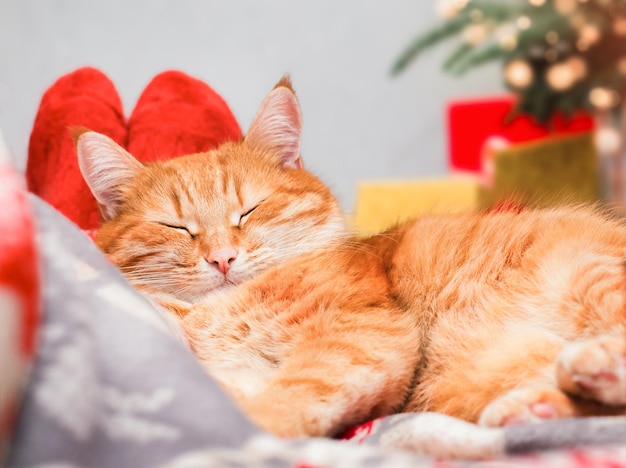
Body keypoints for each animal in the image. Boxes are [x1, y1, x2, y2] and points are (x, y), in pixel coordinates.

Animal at [77, 75, 624, 436]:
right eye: (176, 227)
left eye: (249, 210)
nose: (222, 259)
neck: (222, 313)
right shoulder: (234, 372)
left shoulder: (357, 334)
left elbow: (294, 393)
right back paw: (536, 406)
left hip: (584, 274)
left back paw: (593, 363)